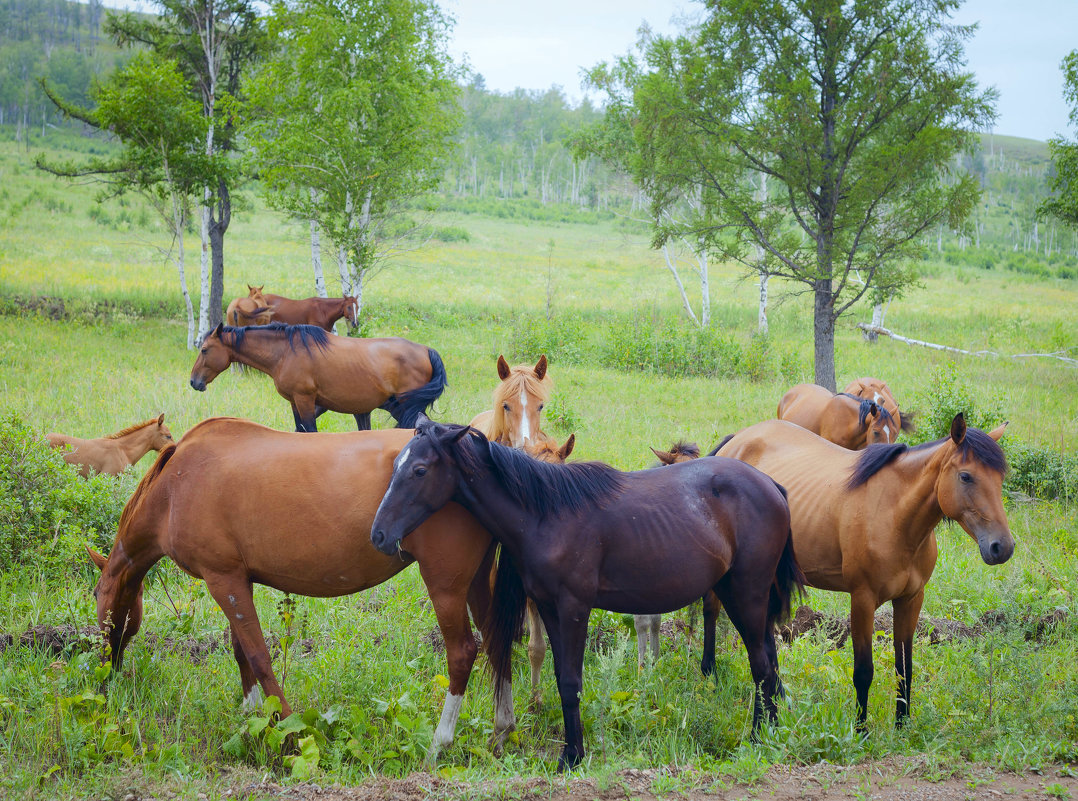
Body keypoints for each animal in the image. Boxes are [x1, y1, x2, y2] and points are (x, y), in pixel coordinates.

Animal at [86, 420, 515, 763]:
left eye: (96, 597)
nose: (107, 670)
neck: (176, 486)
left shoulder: (223, 579)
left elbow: (259, 657)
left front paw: (286, 728)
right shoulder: (237, 580)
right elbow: (242, 652)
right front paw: (252, 717)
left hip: (446, 587)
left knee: (463, 653)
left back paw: (439, 744)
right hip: (475, 584)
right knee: (497, 643)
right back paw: (502, 730)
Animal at [189, 323, 446, 433]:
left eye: (205, 350)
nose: (194, 381)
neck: (286, 352)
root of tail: (426, 350)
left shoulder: (305, 399)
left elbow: (309, 432)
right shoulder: (299, 403)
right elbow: (299, 431)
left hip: (405, 407)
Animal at [370, 420, 802, 771]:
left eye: (419, 470)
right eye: (395, 468)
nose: (379, 535)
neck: (547, 514)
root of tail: (772, 486)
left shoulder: (574, 608)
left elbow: (571, 681)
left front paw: (572, 757)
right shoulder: (548, 608)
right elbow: (561, 675)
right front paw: (571, 751)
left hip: (746, 595)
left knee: (762, 665)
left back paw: (757, 737)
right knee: (769, 661)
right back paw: (773, 727)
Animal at [715, 413, 1009, 733]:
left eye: (1000, 478)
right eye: (966, 476)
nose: (1002, 547)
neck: (895, 517)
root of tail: (736, 441)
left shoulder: (910, 600)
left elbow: (904, 666)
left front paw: (902, 725)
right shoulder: (862, 600)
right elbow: (864, 671)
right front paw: (861, 730)